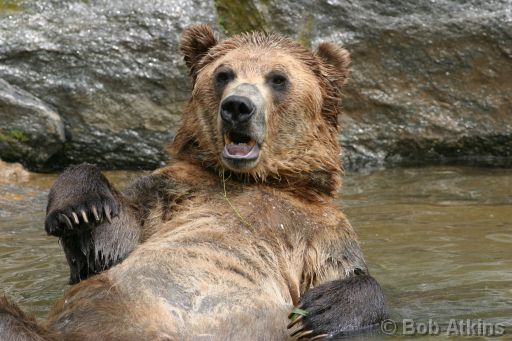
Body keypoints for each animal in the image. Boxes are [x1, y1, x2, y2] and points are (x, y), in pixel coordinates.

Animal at [0, 24, 384, 340]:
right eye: (224, 73)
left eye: (278, 78)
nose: (238, 106)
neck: (257, 179)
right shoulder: (175, 189)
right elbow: (112, 238)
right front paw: (82, 209)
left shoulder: (318, 227)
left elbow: (347, 274)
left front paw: (319, 310)